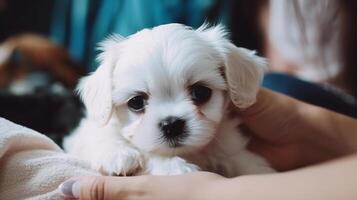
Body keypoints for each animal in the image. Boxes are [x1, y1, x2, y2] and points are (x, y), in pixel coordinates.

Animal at [64, 23, 274, 177]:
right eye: (136, 102)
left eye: (200, 92)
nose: (172, 124)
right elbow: (105, 136)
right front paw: (119, 154)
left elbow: (241, 159)